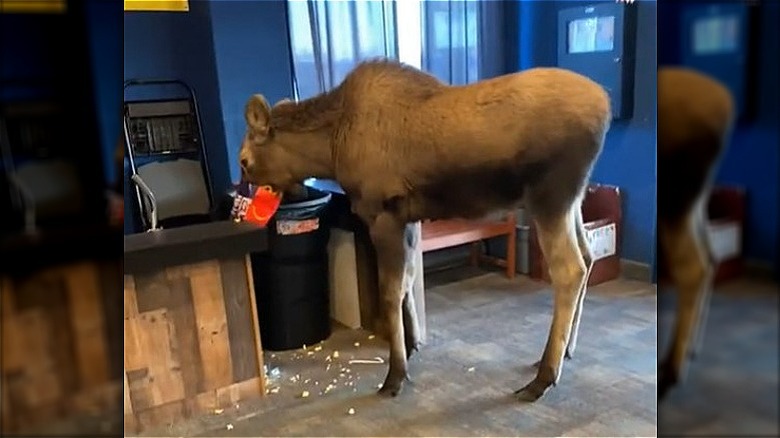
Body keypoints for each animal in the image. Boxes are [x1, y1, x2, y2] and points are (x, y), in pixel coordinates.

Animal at [241, 60, 612, 402]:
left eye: (245, 161)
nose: (244, 197)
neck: (330, 148)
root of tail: (605, 108)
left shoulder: (383, 214)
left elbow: (390, 292)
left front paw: (395, 374)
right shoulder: (409, 217)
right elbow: (406, 282)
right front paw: (413, 344)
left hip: (549, 196)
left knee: (569, 270)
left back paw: (544, 377)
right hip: (572, 199)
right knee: (588, 255)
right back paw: (565, 351)